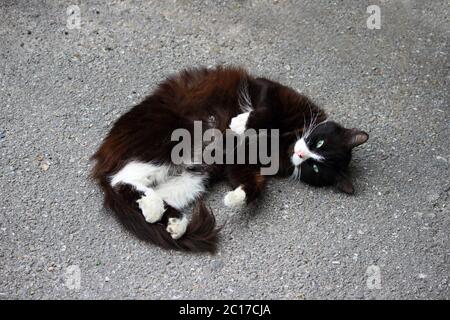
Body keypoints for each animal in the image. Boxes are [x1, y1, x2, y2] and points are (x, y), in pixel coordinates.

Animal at [89, 66, 368, 254]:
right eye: (319, 144)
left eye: (316, 167)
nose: (301, 155)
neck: (287, 139)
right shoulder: (270, 90)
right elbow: (267, 111)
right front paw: (239, 122)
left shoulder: (242, 160)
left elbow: (254, 186)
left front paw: (234, 198)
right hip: (172, 137)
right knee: (120, 179)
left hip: (194, 178)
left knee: (135, 187)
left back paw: (171, 221)